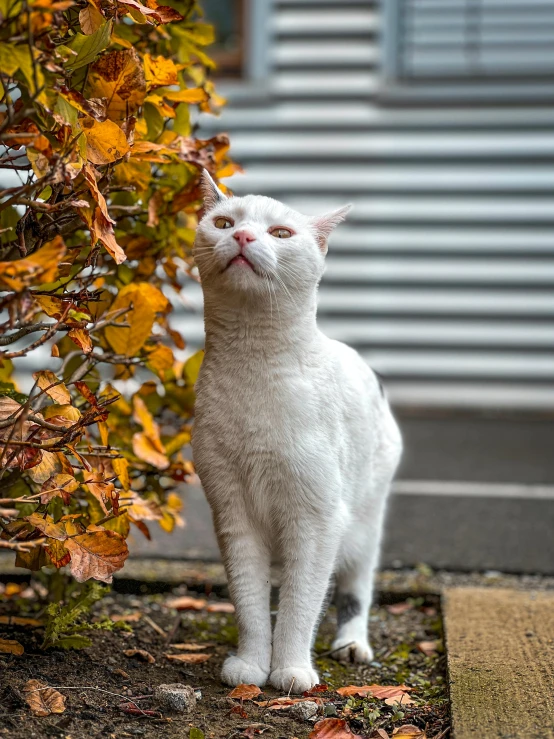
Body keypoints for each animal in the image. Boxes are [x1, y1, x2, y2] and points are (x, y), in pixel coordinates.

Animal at [191, 172, 402, 692]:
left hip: (364, 521)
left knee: (355, 588)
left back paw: (351, 645)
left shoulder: (318, 517)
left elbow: (302, 601)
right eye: (223, 223)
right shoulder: (232, 512)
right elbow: (249, 599)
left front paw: (290, 670)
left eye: (281, 233)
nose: (244, 237)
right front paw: (251, 665)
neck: (253, 363)